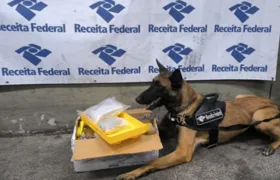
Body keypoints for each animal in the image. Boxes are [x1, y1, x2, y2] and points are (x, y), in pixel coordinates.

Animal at [116, 59, 280, 179]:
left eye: (159, 86)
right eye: (152, 83)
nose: (137, 99)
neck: (184, 108)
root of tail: (274, 102)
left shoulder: (182, 152)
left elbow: (153, 161)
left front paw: (132, 172)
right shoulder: (163, 130)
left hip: (259, 117)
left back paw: (270, 146)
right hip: (240, 97)